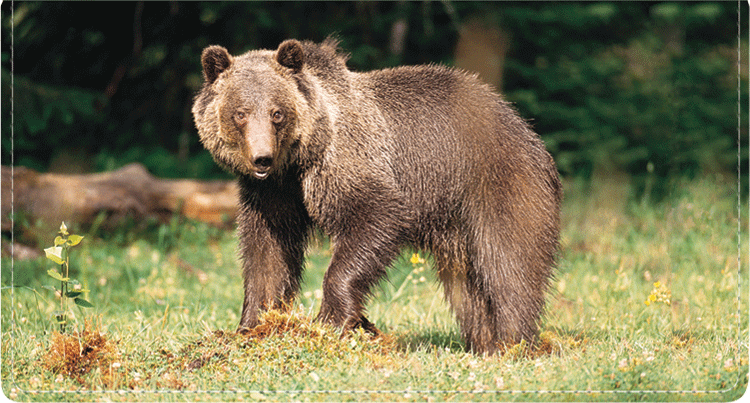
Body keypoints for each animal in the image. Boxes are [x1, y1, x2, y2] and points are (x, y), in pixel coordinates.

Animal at [194, 37, 564, 354]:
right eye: (240, 112)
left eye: (277, 113)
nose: (262, 158)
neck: (297, 163)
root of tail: (525, 127)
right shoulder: (272, 195)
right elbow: (267, 253)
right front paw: (253, 324)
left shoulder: (346, 163)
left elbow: (375, 216)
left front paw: (331, 320)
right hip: (455, 221)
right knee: (466, 287)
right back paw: (484, 343)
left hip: (498, 182)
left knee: (508, 263)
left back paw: (514, 341)